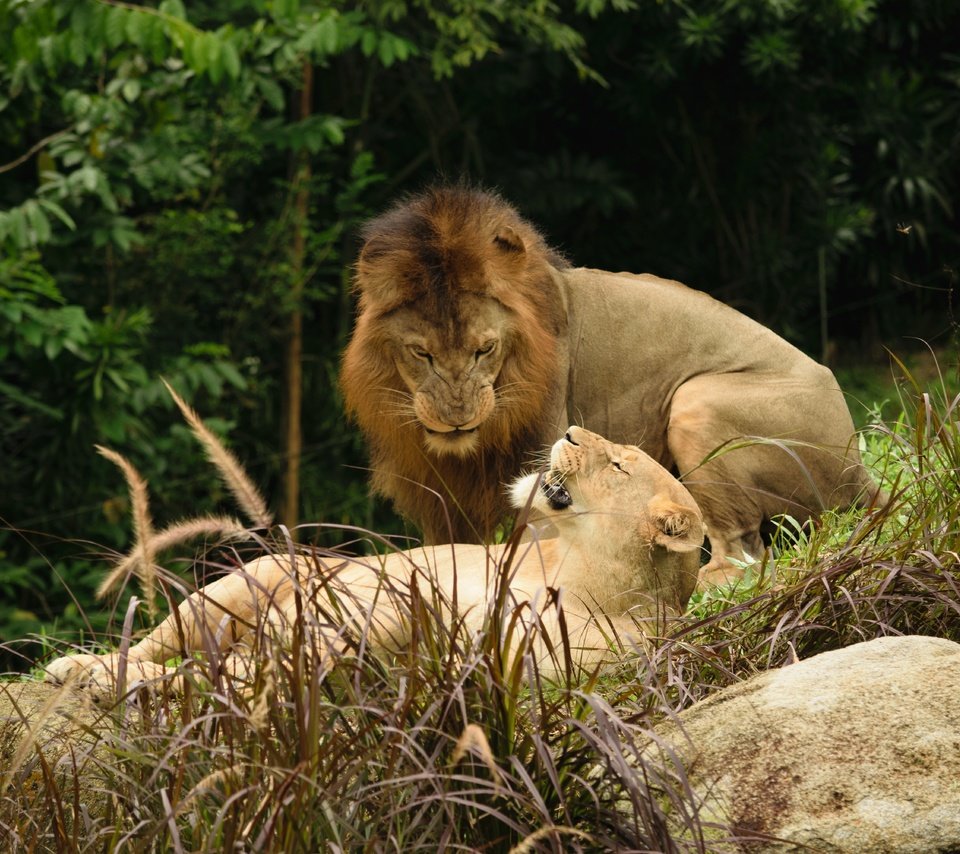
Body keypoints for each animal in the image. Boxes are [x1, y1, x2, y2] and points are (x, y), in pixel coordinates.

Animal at [45, 428, 700, 696]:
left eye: (618, 465)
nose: (567, 431)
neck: (572, 572)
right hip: (235, 587)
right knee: (157, 644)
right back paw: (77, 666)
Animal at [342, 186, 880, 588]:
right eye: (421, 353)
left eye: (485, 349)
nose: (457, 416)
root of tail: (859, 467)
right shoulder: (439, 494)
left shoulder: (542, 457)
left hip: (696, 401)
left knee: (744, 554)